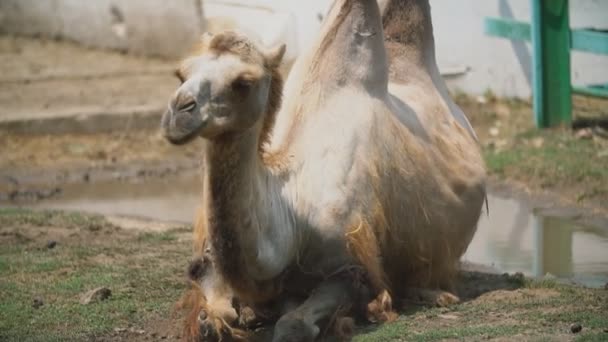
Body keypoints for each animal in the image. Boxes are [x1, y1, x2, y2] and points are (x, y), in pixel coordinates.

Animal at [160, 1, 484, 340]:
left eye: (243, 83)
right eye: (181, 74)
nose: (177, 114)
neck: (294, 208)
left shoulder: (351, 267)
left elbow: (293, 323)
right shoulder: (212, 260)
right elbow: (212, 311)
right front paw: (234, 314)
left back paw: (437, 295)